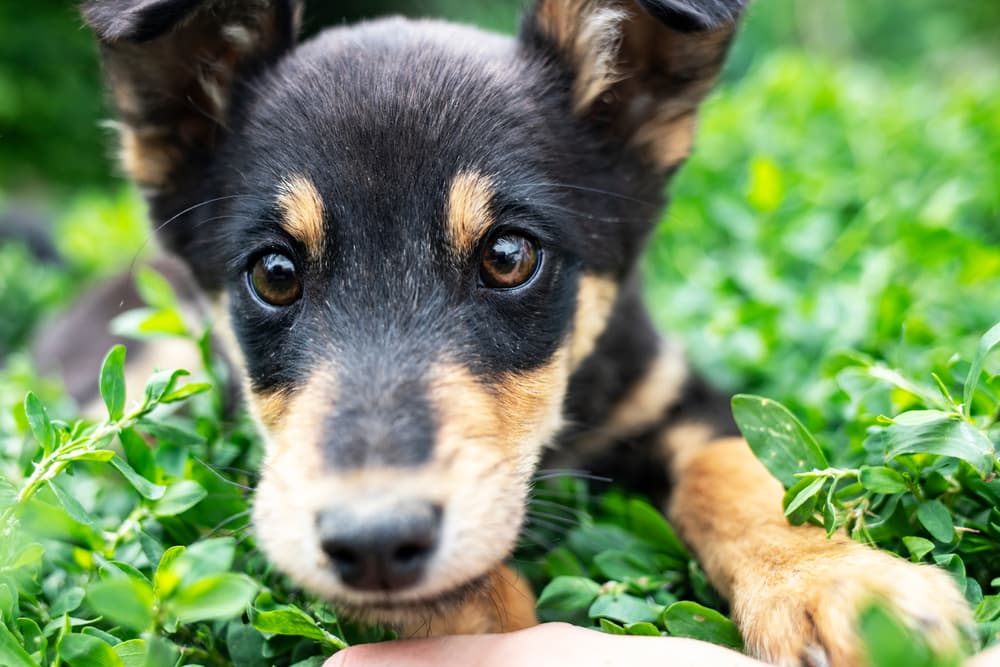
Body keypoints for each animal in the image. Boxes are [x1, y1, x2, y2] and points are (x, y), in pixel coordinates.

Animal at [82, 1, 972, 664]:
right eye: (274, 273)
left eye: (509, 256)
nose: (374, 541)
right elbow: (486, 600)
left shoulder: (670, 389)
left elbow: (738, 471)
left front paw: (838, 583)